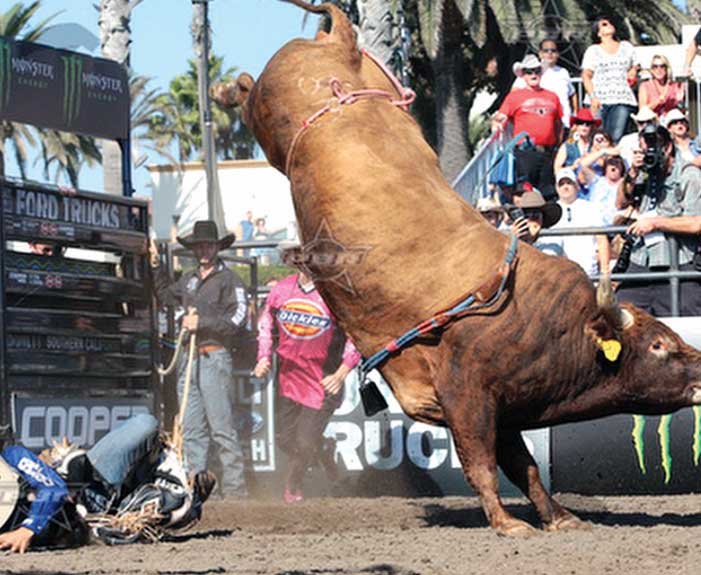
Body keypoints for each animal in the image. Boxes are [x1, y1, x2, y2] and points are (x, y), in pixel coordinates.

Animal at [217, 0, 700, 536]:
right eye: (659, 345)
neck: (543, 316)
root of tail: (338, 40)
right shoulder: (468, 396)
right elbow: (482, 464)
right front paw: (507, 523)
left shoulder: (505, 410)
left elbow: (525, 467)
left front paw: (558, 517)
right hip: (267, 109)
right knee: (246, 90)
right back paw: (223, 89)